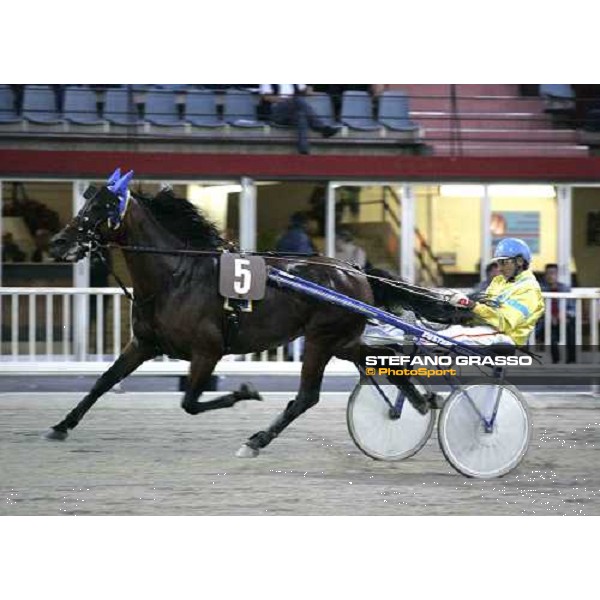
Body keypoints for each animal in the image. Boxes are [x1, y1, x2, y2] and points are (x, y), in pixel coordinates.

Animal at [48, 171, 468, 458]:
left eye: (102, 207)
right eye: (84, 202)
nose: (58, 243)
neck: (176, 275)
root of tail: (355, 271)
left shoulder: (208, 350)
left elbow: (190, 402)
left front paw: (245, 391)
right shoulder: (144, 343)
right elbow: (103, 381)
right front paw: (61, 425)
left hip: (321, 339)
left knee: (307, 396)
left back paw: (258, 439)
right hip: (342, 340)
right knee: (384, 360)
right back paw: (418, 401)